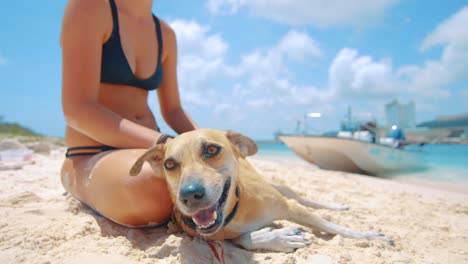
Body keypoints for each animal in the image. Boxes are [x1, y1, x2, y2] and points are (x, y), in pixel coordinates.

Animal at [129, 128, 392, 252]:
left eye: (211, 150)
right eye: (170, 164)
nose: (189, 195)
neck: (235, 211)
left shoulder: (288, 206)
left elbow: (334, 227)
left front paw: (369, 236)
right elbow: (243, 239)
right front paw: (278, 237)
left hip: (279, 187)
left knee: (303, 198)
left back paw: (337, 205)